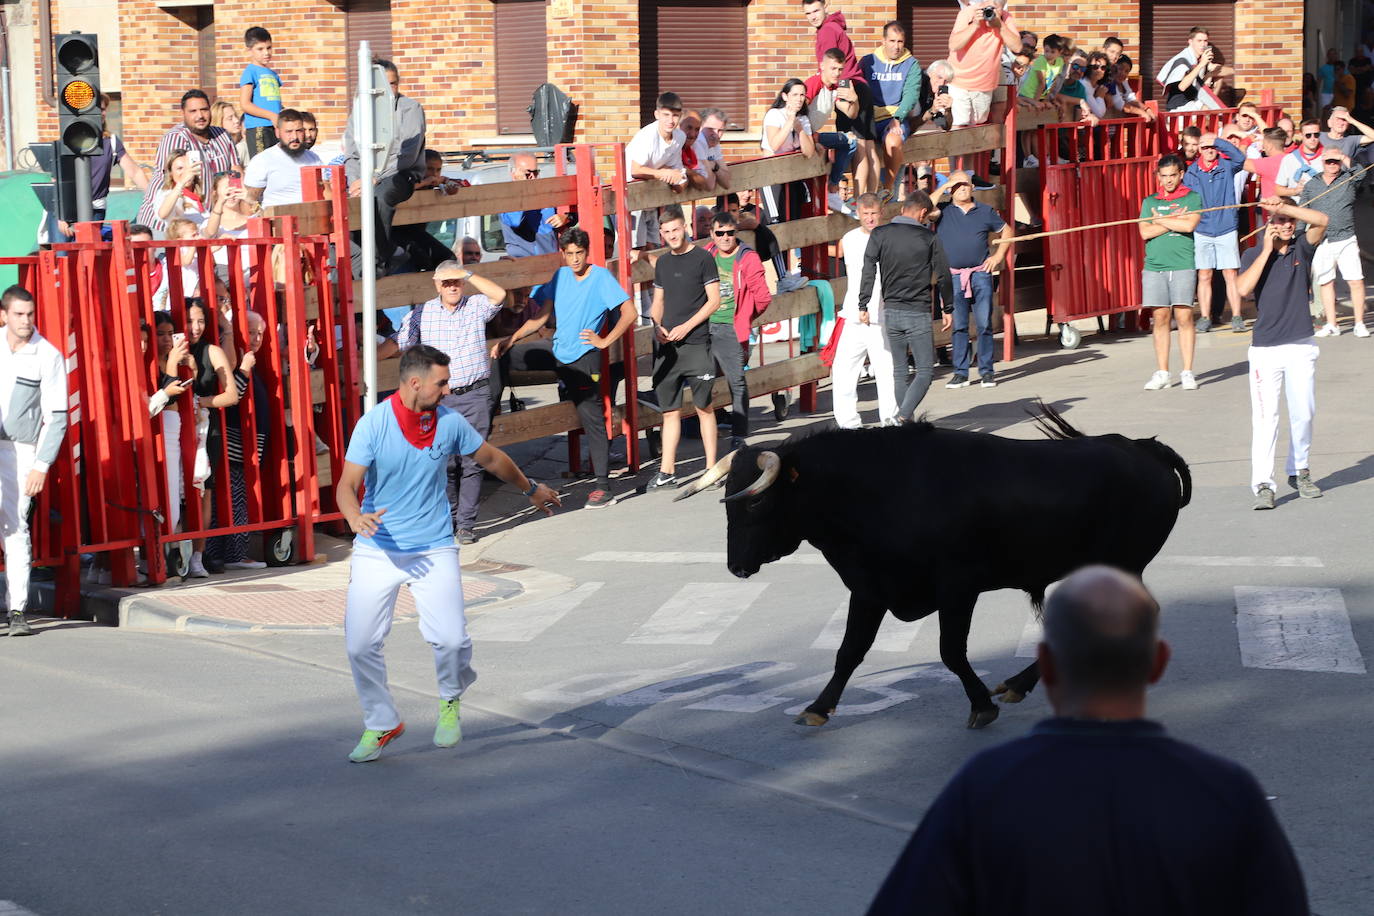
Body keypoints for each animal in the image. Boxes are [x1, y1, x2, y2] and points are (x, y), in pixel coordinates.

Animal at [676, 409, 1192, 730]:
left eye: (755, 502)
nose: (736, 567)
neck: (877, 490)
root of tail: (1145, 449)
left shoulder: (957, 587)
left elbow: (950, 651)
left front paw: (981, 706)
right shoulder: (870, 588)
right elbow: (849, 652)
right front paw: (819, 707)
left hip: (1120, 565)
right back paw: (1021, 684)